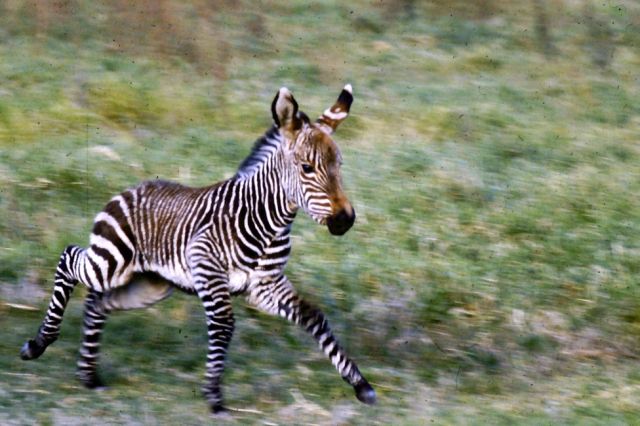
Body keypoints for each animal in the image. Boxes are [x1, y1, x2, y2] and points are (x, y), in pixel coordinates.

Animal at [21, 85, 376, 414]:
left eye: (339, 165)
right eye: (307, 168)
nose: (344, 220)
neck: (268, 221)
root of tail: (130, 189)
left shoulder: (265, 287)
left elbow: (315, 318)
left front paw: (360, 384)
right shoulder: (208, 271)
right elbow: (224, 325)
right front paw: (214, 395)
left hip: (148, 285)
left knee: (97, 302)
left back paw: (88, 375)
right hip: (110, 262)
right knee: (69, 258)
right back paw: (39, 344)